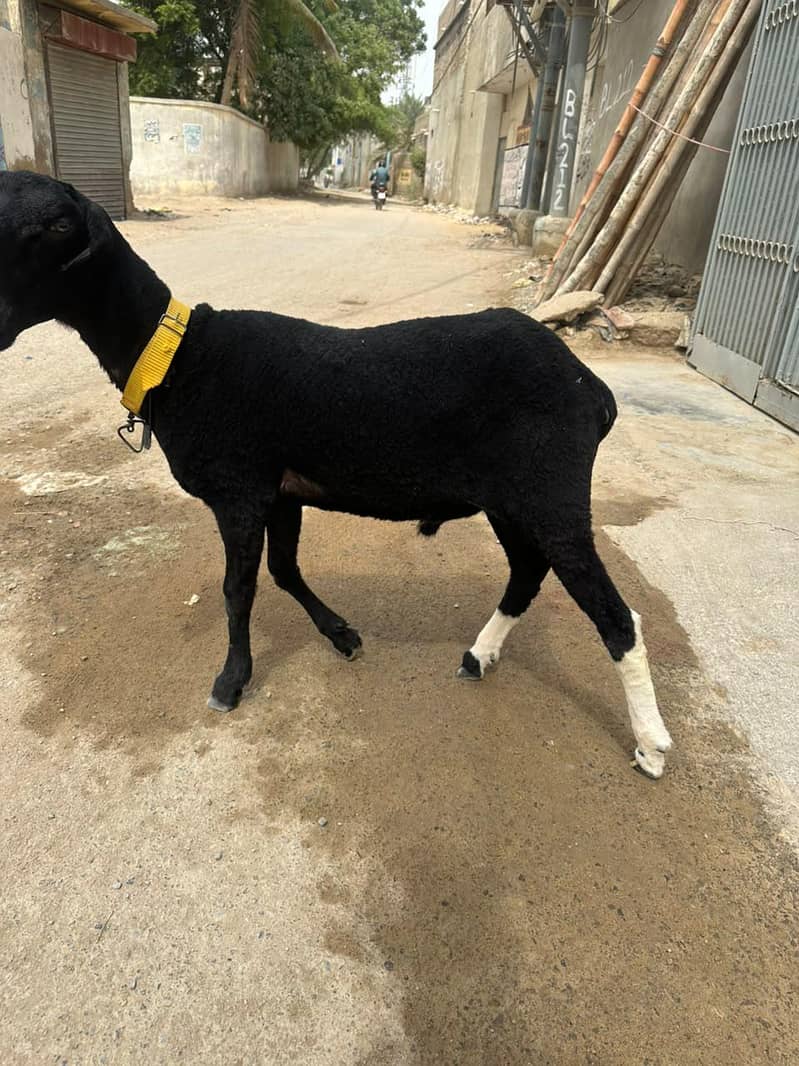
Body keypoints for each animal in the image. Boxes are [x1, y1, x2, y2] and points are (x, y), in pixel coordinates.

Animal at [0, 171, 672, 777]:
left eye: (57, 226)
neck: (176, 358)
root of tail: (592, 388)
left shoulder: (240, 490)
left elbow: (238, 588)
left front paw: (230, 681)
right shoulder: (281, 491)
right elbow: (283, 569)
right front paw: (341, 634)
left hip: (550, 489)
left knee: (616, 618)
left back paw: (651, 746)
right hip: (511, 497)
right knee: (528, 572)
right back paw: (479, 657)